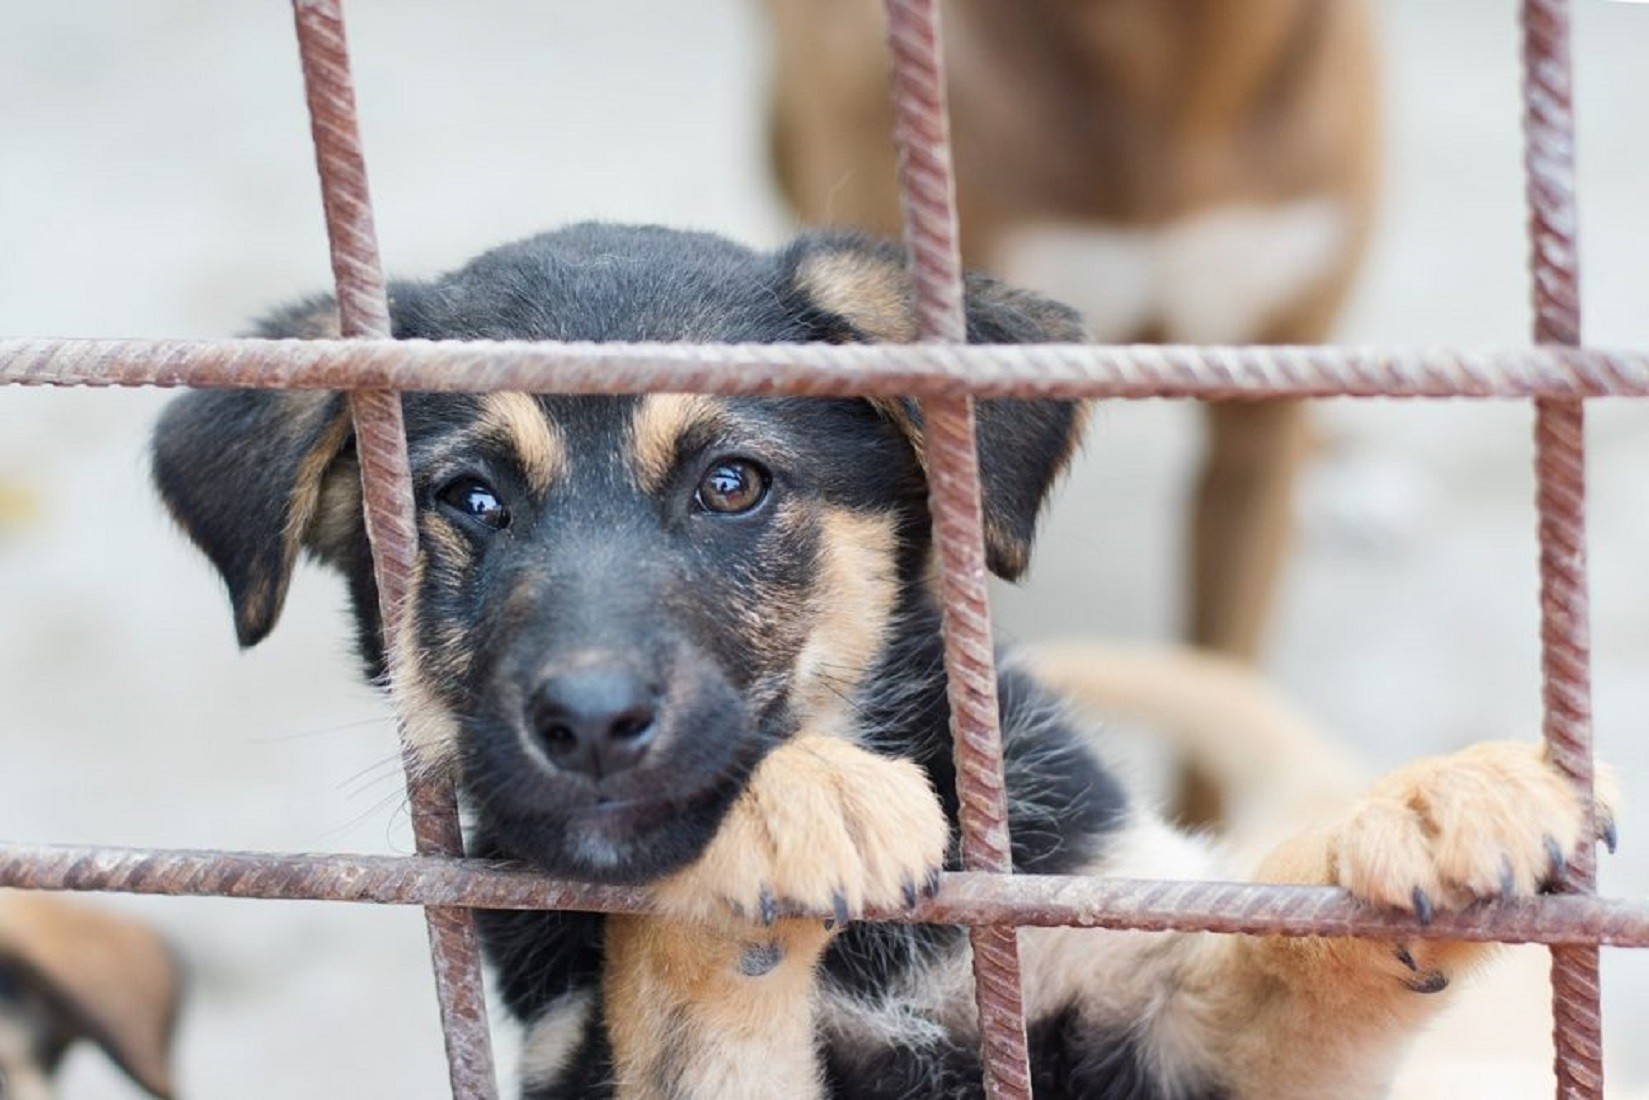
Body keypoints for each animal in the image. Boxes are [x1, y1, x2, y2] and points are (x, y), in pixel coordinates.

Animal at [155, 225, 1609, 1100]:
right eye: (469, 501)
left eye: (731, 483)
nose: (590, 720)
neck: (877, 964)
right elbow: (689, 999)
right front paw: (797, 808)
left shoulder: (1157, 1024)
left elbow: (1282, 957)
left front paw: (1436, 804)